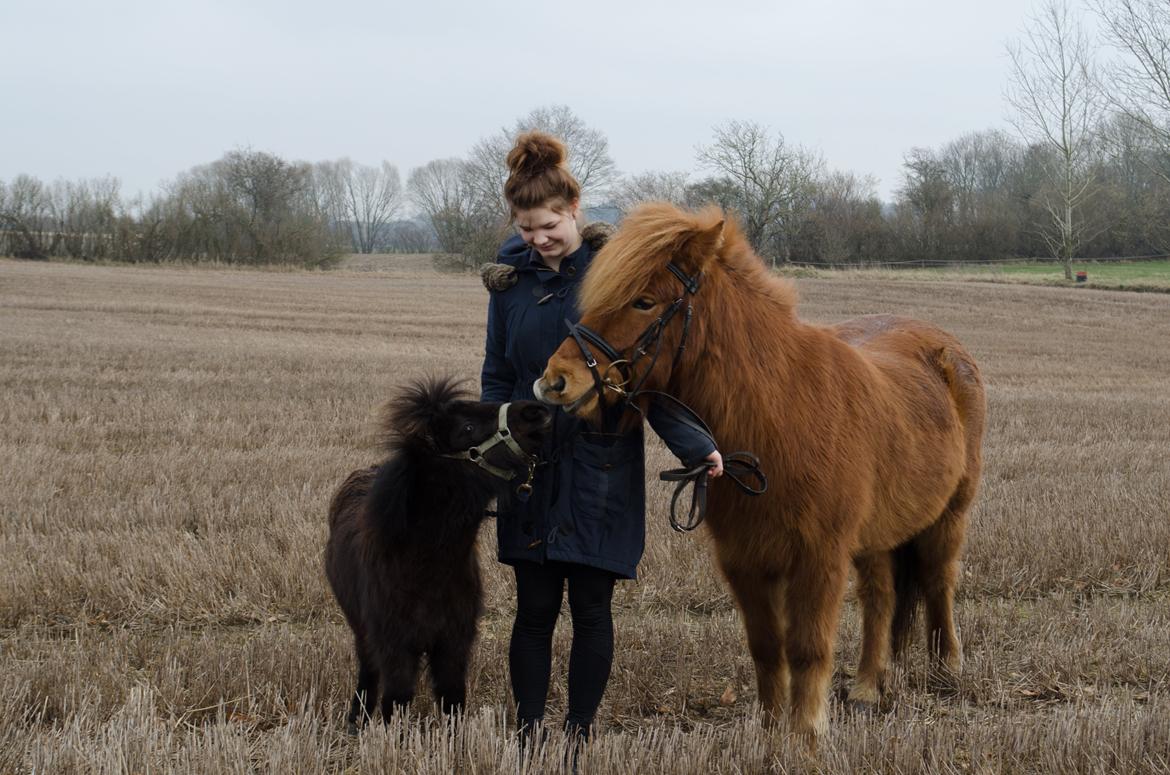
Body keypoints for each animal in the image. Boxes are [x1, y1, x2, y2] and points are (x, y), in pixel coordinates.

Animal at [325, 379, 552, 730]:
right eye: (467, 427)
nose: (536, 411)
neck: (426, 563)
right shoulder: (395, 646)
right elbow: (397, 699)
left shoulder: (453, 644)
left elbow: (452, 697)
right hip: (362, 628)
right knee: (368, 669)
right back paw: (356, 719)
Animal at [538, 203, 987, 739]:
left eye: (644, 302)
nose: (556, 380)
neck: (780, 412)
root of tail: (945, 347)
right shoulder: (745, 561)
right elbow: (768, 648)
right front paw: (773, 732)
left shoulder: (819, 559)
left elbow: (809, 648)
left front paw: (806, 736)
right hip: (878, 536)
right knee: (881, 596)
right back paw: (865, 689)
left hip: (950, 516)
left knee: (939, 581)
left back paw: (948, 670)